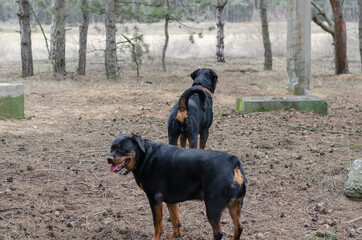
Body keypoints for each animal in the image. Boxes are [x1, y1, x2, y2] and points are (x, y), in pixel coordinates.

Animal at [107, 135, 247, 240]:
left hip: (213, 207)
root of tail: (233, 161)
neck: (145, 156)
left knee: (218, 233)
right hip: (235, 204)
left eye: (122, 149)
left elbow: (157, 225)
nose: (109, 159)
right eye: (111, 148)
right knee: (238, 228)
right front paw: (176, 234)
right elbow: (175, 218)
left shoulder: (154, 198)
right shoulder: (170, 199)